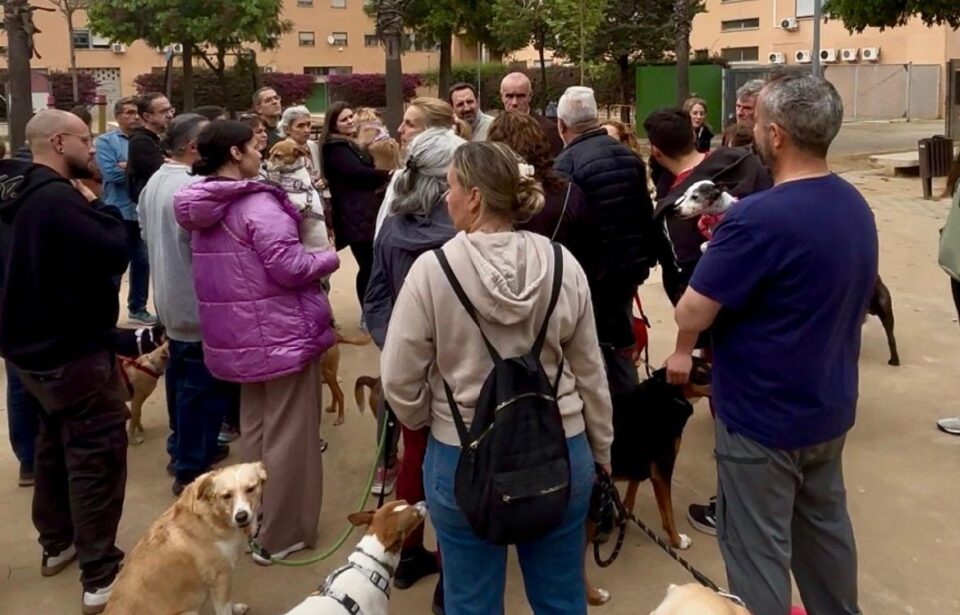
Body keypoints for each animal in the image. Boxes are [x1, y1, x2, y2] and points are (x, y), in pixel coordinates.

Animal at [103, 462, 267, 615]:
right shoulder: (220, 577)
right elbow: (224, 609)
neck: (212, 516)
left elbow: (229, 602)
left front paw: (236, 608)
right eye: (226, 496)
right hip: (189, 612)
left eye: (250, 489)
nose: (241, 517)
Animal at [586, 362, 711, 606]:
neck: (669, 394)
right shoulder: (662, 469)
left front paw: (622, 515)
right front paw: (677, 541)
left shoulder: (641, 463)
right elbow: (668, 513)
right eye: (701, 374)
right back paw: (595, 596)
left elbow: (630, 496)